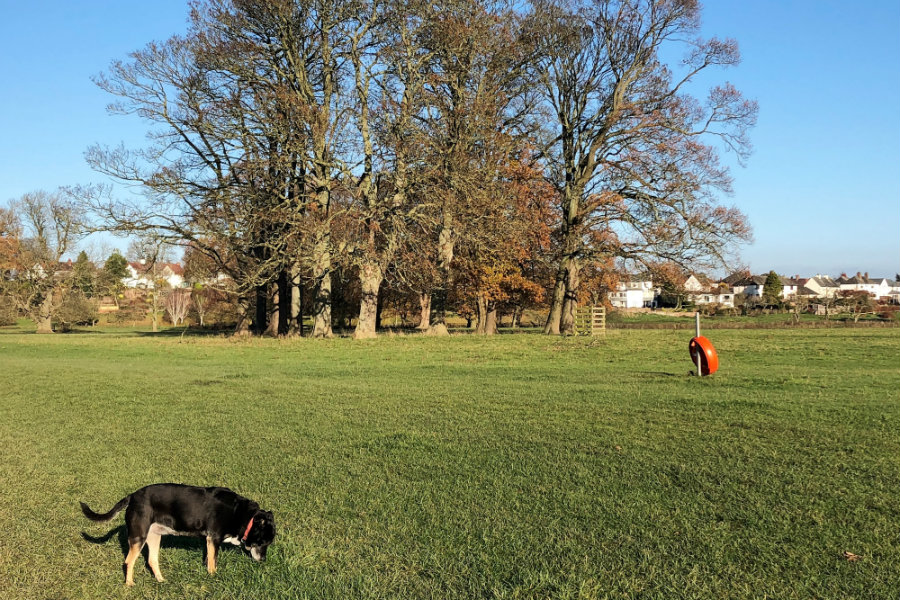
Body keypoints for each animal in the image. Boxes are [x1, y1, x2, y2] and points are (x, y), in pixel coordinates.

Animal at [79, 482, 276, 584]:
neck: (243, 515)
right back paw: (129, 584)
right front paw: (214, 578)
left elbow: (208, 559)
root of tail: (132, 496)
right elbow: (213, 563)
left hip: (154, 536)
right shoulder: (214, 538)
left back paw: (161, 580)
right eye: (263, 542)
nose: (264, 560)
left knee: (151, 560)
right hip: (138, 536)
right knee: (128, 561)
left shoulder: (209, 541)